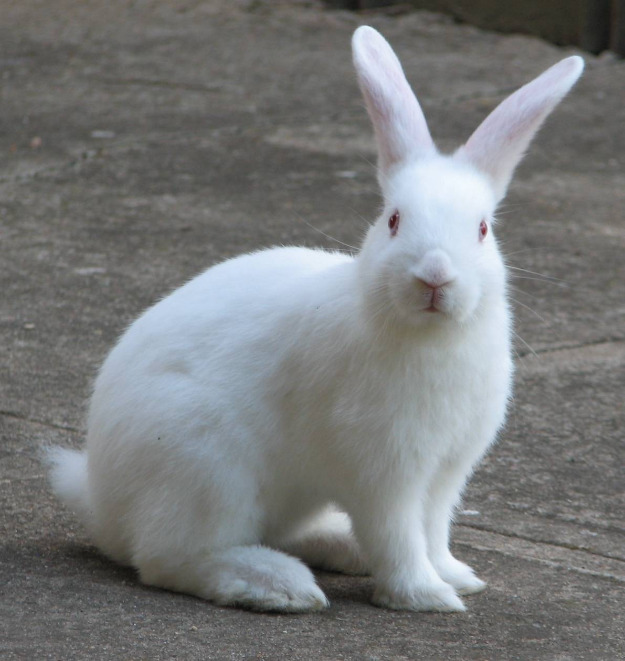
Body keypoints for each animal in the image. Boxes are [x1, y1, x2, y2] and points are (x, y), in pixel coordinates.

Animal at [46, 28, 584, 612]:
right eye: (393, 220)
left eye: (483, 229)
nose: (435, 277)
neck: (429, 337)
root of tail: (100, 499)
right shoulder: (384, 470)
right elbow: (398, 534)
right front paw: (425, 596)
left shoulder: (445, 470)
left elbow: (433, 527)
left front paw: (455, 576)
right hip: (206, 469)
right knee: (169, 559)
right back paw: (280, 584)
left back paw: (338, 548)